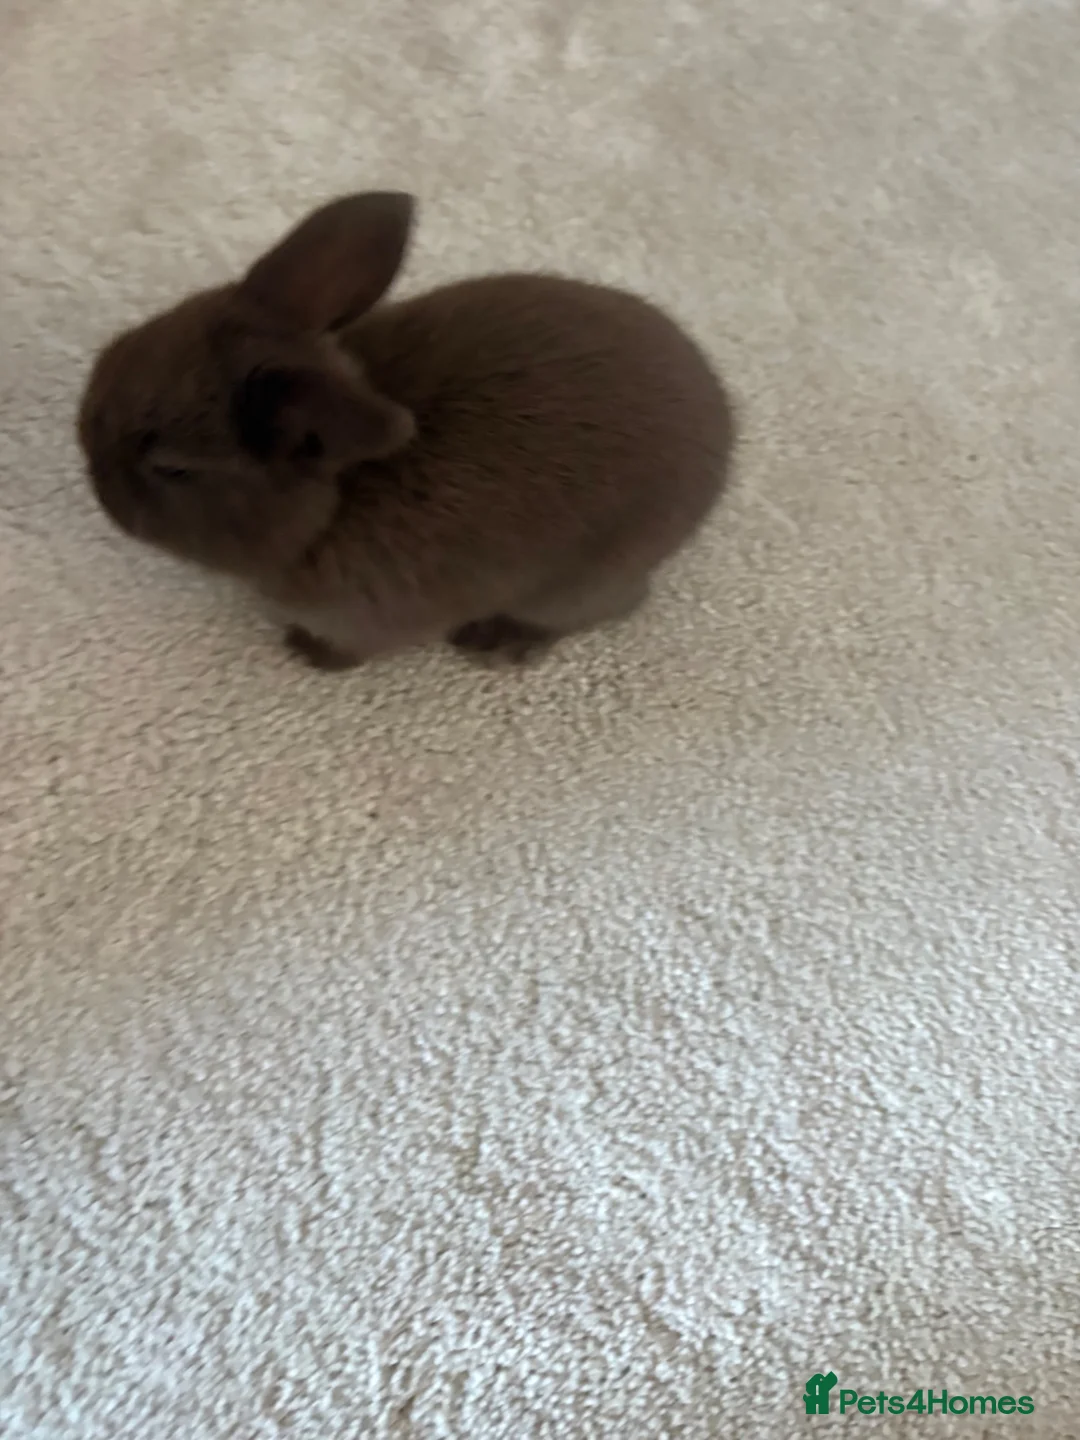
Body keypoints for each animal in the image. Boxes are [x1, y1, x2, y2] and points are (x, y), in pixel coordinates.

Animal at [77, 191, 735, 670]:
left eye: (173, 467)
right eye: (125, 347)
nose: (93, 477)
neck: (331, 506)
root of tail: (722, 434)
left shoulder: (367, 618)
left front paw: (308, 653)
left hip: (584, 579)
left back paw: (503, 643)